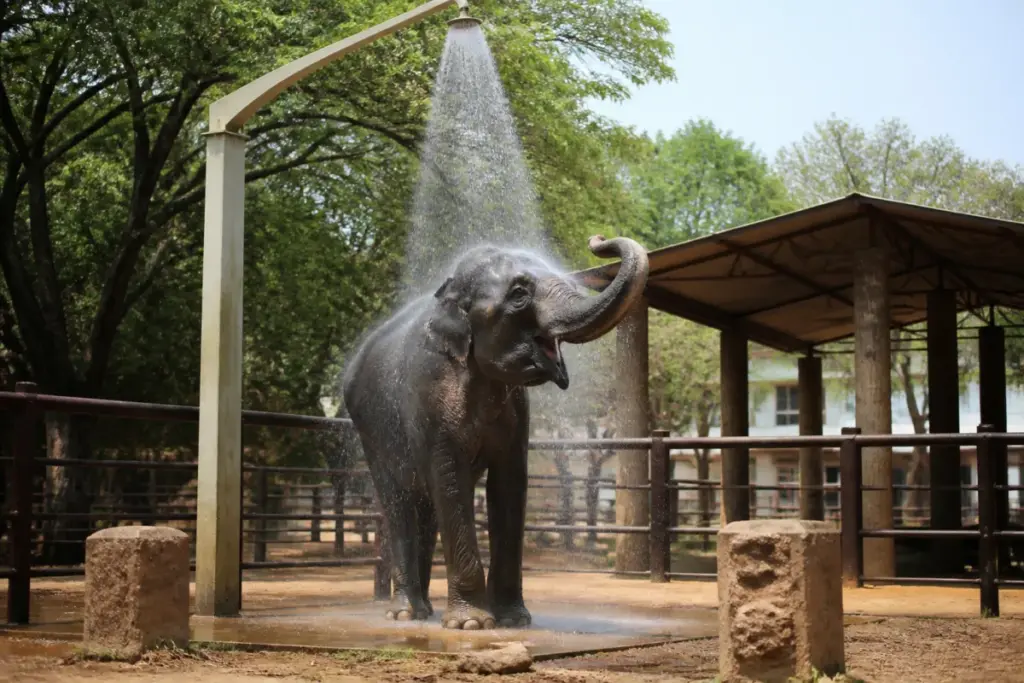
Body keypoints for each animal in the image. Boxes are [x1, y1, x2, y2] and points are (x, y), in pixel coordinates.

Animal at [342, 234, 649, 629]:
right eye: (519, 294)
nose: (597, 240)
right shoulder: (429, 395)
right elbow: (449, 480)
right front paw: (471, 624)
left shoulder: (517, 411)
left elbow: (509, 483)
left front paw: (514, 621)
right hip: (370, 431)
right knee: (398, 500)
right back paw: (405, 614)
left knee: (424, 503)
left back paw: (426, 613)